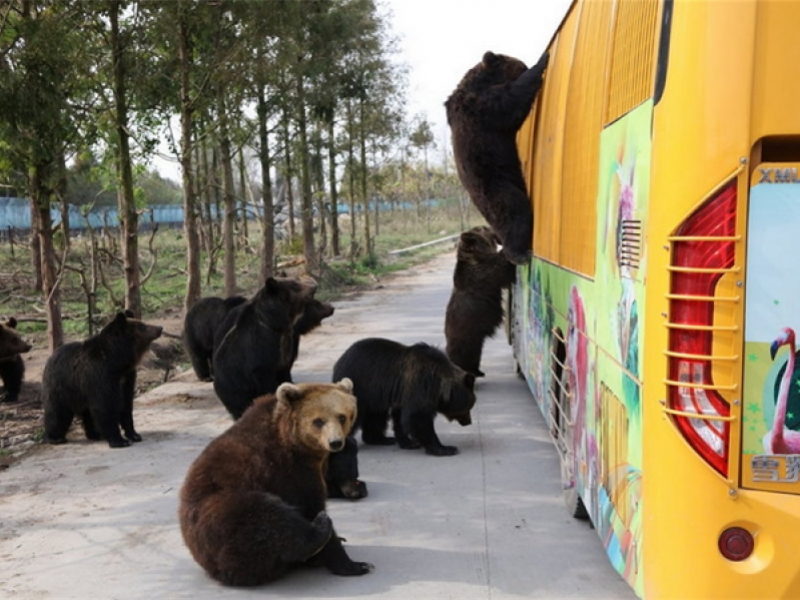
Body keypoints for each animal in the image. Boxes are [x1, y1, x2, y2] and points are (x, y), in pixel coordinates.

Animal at [43, 312, 165, 448]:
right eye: (142, 326)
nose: (159, 328)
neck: (117, 361)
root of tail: (51, 355)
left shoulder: (127, 378)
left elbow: (126, 405)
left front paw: (134, 434)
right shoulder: (101, 376)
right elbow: (106, 406)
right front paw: (120, 440)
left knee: (88, 413)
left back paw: (95, 433)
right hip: (61, 386)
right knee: (57, 412)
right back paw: (56, 437)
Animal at [178, 380, 372, 584]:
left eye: (341, 417)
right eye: (318, 421)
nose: (335, 442)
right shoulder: (288, 470)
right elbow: (310, 504)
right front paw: (355, 564)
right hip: (217, 515)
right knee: (264, 514)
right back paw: (320, 527)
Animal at [332, 338, 476, 454]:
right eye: (469, 407)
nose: (468, 422)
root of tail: (339, 361)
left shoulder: (403, 393)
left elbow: (401, 417)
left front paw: (409, 442)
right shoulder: (420, 384)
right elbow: (418, 415)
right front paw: (445, 448)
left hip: (374, 395)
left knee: (376, 416)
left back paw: (382, 438)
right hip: (359, 385)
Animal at [444, 50, 552, 266]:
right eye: (521, 66)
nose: (525, 65)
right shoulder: (482, 106)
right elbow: (512, 100)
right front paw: (542, 61)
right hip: (498, 189)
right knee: (516, 212)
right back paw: (520, 253)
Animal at [446, 227, 516, 378]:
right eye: (482, 229)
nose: (490, 228)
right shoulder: (482, 273)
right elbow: (499, 268)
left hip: (476, 342)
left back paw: (479, 372)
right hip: (466, 339)